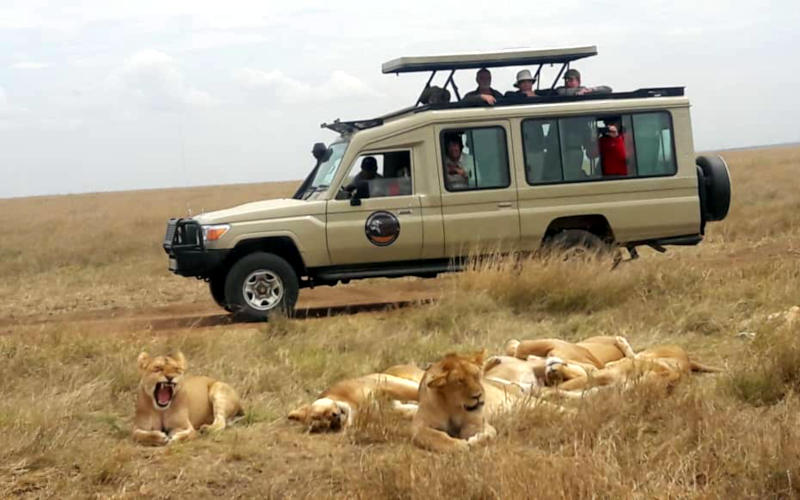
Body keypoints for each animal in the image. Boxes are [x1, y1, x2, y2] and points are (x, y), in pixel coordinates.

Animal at [288, 364, 424, 434]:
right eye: (329, 427)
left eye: (319, 414)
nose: (336, 420)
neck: (355, 407)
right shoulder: (390, 410)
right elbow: (412, 411)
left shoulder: (382, 382)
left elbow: (414, 391)